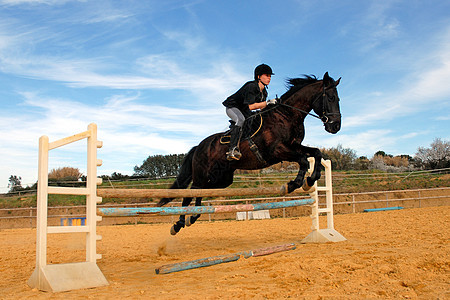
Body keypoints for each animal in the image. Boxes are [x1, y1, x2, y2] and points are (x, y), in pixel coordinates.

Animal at [158, 72, 342, 234]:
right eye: (331, 98)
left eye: (337, 98)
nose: (335, 127)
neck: (286, 115)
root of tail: (199, 146)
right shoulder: (278, 151)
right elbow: (303, 160)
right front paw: (294, 184)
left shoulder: (294, 146)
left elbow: (316, 153)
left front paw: (310, 180)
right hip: (201, 174)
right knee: (190, 193)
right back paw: (178, 224)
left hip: (222, 178)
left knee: (203, 191)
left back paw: (194, 216)